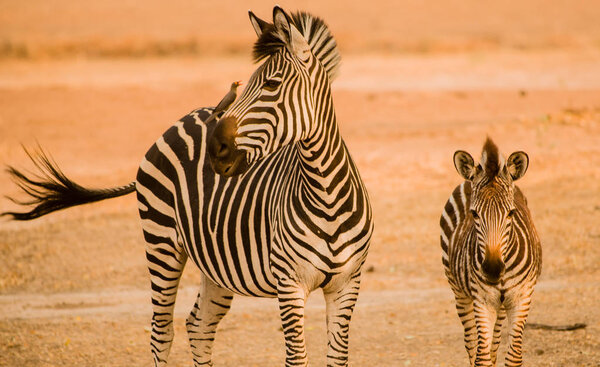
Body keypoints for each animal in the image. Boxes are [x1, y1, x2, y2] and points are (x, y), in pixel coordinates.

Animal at [2, 6, 372, 367]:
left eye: (271, 84)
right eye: (251, 83)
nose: (215, 149)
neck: (325, 193)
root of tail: (180, 120)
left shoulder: (347, 285)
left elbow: (338, 357)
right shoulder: (290, 284)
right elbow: (296, 358)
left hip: (217, 264)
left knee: (199, 325)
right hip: (161, 244)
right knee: (161, 332)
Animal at [440, 139, 544, 367]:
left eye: (511, 213)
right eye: (474, 214)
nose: (493, 269)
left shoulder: (522, 297)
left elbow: (513, 357)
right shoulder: (482, 300)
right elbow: (481, 357)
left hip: (501, 304)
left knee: (494, 343)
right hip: (459, 290)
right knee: (471, 342)